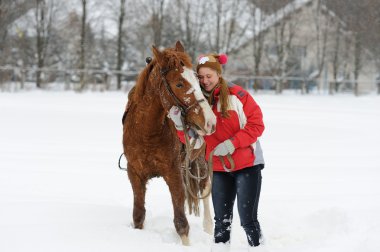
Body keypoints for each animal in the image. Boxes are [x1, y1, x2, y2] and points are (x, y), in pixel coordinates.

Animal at [122, 40, 215, 244]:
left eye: (197, 79)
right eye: (179, 83)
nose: (210, 121)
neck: (147, 133)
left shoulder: (173, 173)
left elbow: (181, 222)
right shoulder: (135, 174)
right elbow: (138, 215)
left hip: (201, 161)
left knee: (205, 188)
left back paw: (209, 227)